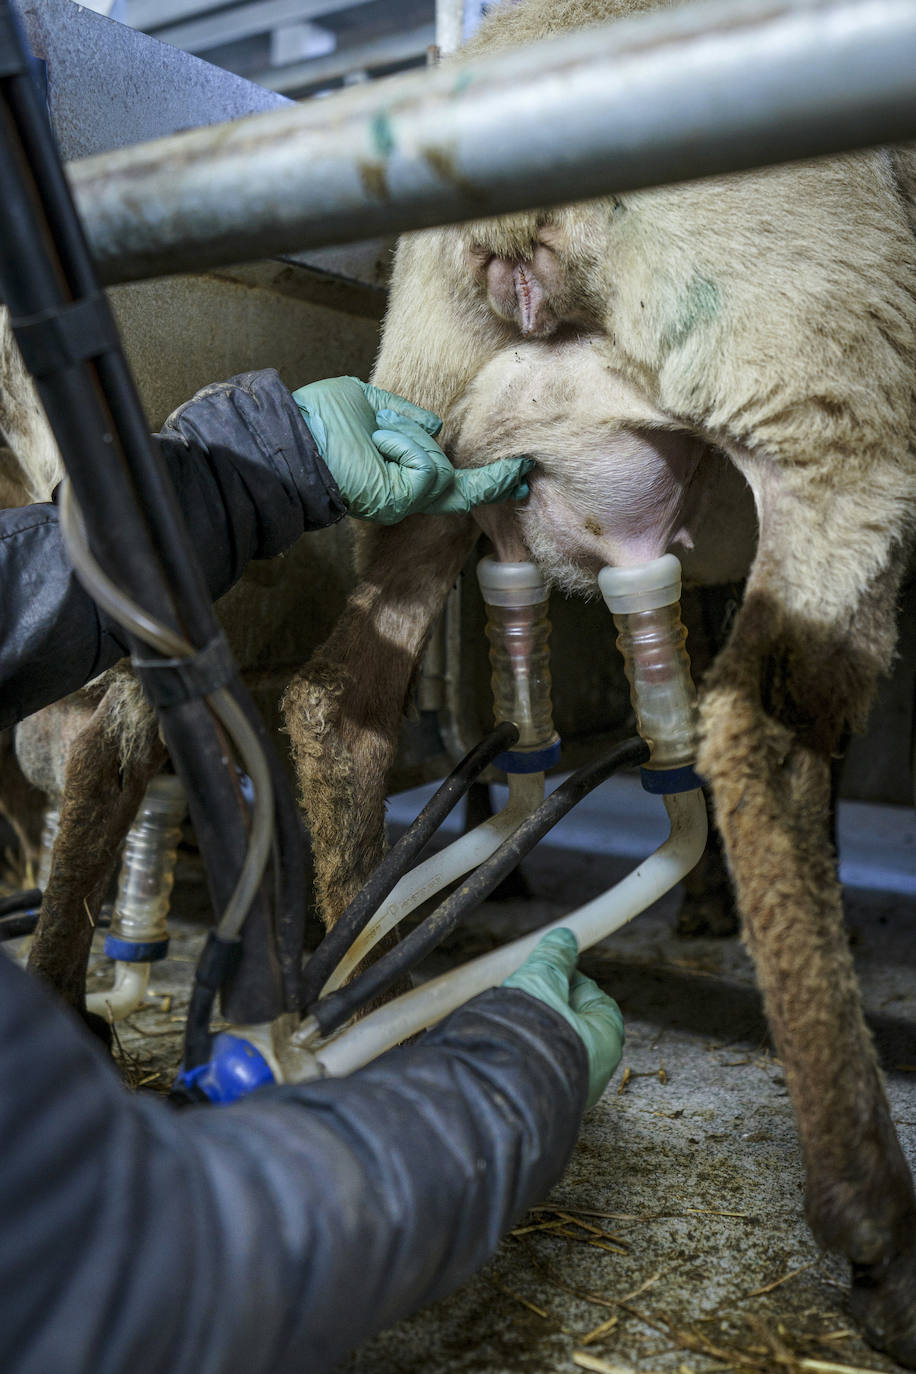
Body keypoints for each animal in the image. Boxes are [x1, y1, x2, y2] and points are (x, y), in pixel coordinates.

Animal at [284, 0, 916, 1357]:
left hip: (420, 443)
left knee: (337, 699)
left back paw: (366, 990)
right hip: (823, 387)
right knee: (753, 729)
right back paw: (875, 1223)